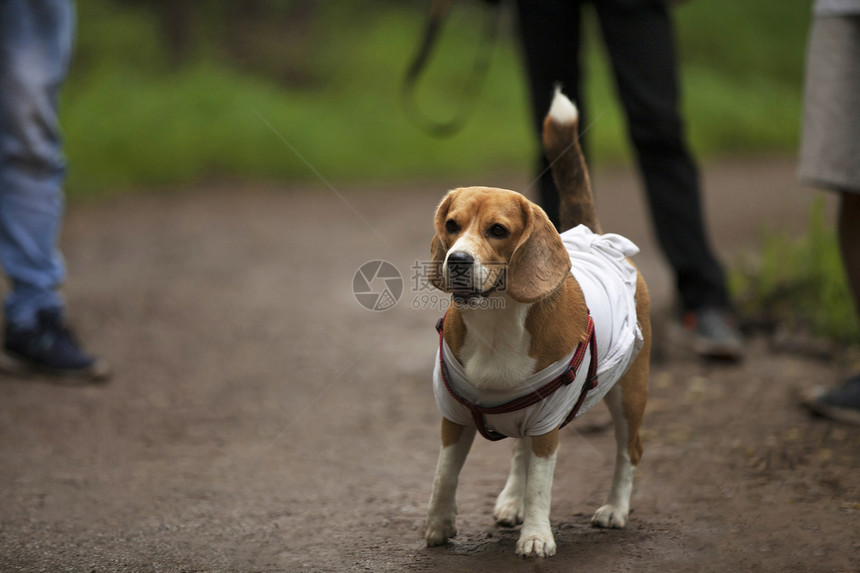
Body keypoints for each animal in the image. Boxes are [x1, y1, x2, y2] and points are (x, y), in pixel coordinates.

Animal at [424, 90, 652, 560]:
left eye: (497, 230)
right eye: (452, 225)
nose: (457, 260)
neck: (495, 320)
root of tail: (595, 237)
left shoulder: (548, 423)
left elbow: (541, 486)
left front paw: (536, 536)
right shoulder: (453, 414)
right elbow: (444, 474)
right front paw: (438, 525)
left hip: (629, 393)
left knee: (630, 450)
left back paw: (615, 509)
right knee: (519, 452)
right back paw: (511, 500)